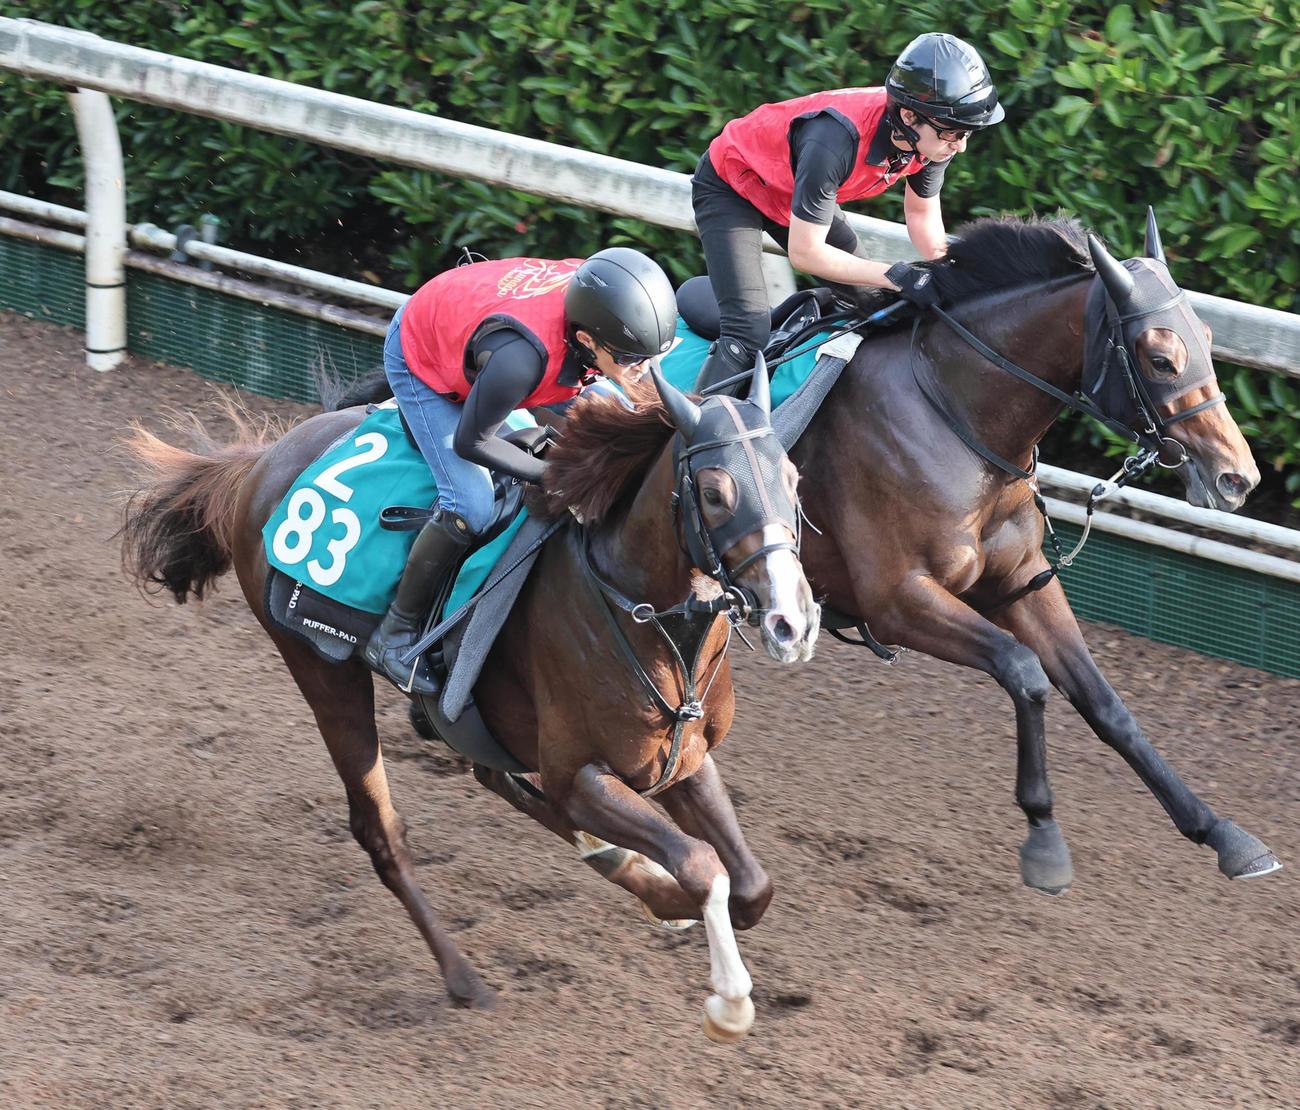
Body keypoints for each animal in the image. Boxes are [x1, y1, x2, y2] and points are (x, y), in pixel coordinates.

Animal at [120, 365, 820, 1041]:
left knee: (493, 774)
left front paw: (675, 902)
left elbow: (752, 886)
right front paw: (728, 1002)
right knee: (381, 829)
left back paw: (635, 876)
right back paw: (465, 977)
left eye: (793, 478)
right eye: (715, 492)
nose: (791, 621)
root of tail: (263, 461)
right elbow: (704, 865)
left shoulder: (682, 757)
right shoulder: (580, 774)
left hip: (476, 719)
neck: (639, 610)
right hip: (321, 668)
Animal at [778, 211, 1280, 892]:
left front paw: (1222, 832)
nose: (1238, 477)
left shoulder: (1021, 580)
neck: (955, 417)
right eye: (1160, 358)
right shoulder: (897, 600)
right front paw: (1043, 836)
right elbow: (1024, 671)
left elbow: (1104, 703)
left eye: (1206, 338)